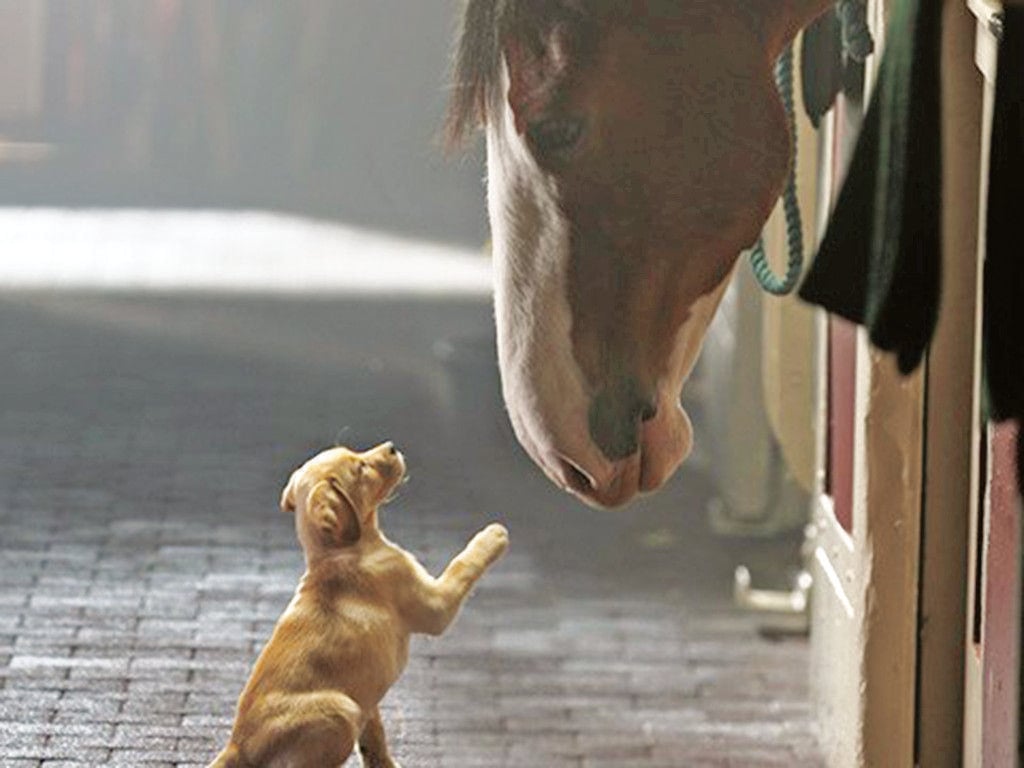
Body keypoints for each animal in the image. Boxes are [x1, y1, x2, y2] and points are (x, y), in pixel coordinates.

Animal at [209, 444, 509, 768]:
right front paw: (492, 535)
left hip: (358, 701)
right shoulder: (435, 606)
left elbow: (375, 739)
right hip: (342, 710)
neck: (340, 552)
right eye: (361, 469)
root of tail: (237, 746)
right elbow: (463, 564)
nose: (392, 447)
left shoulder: (369, 695)